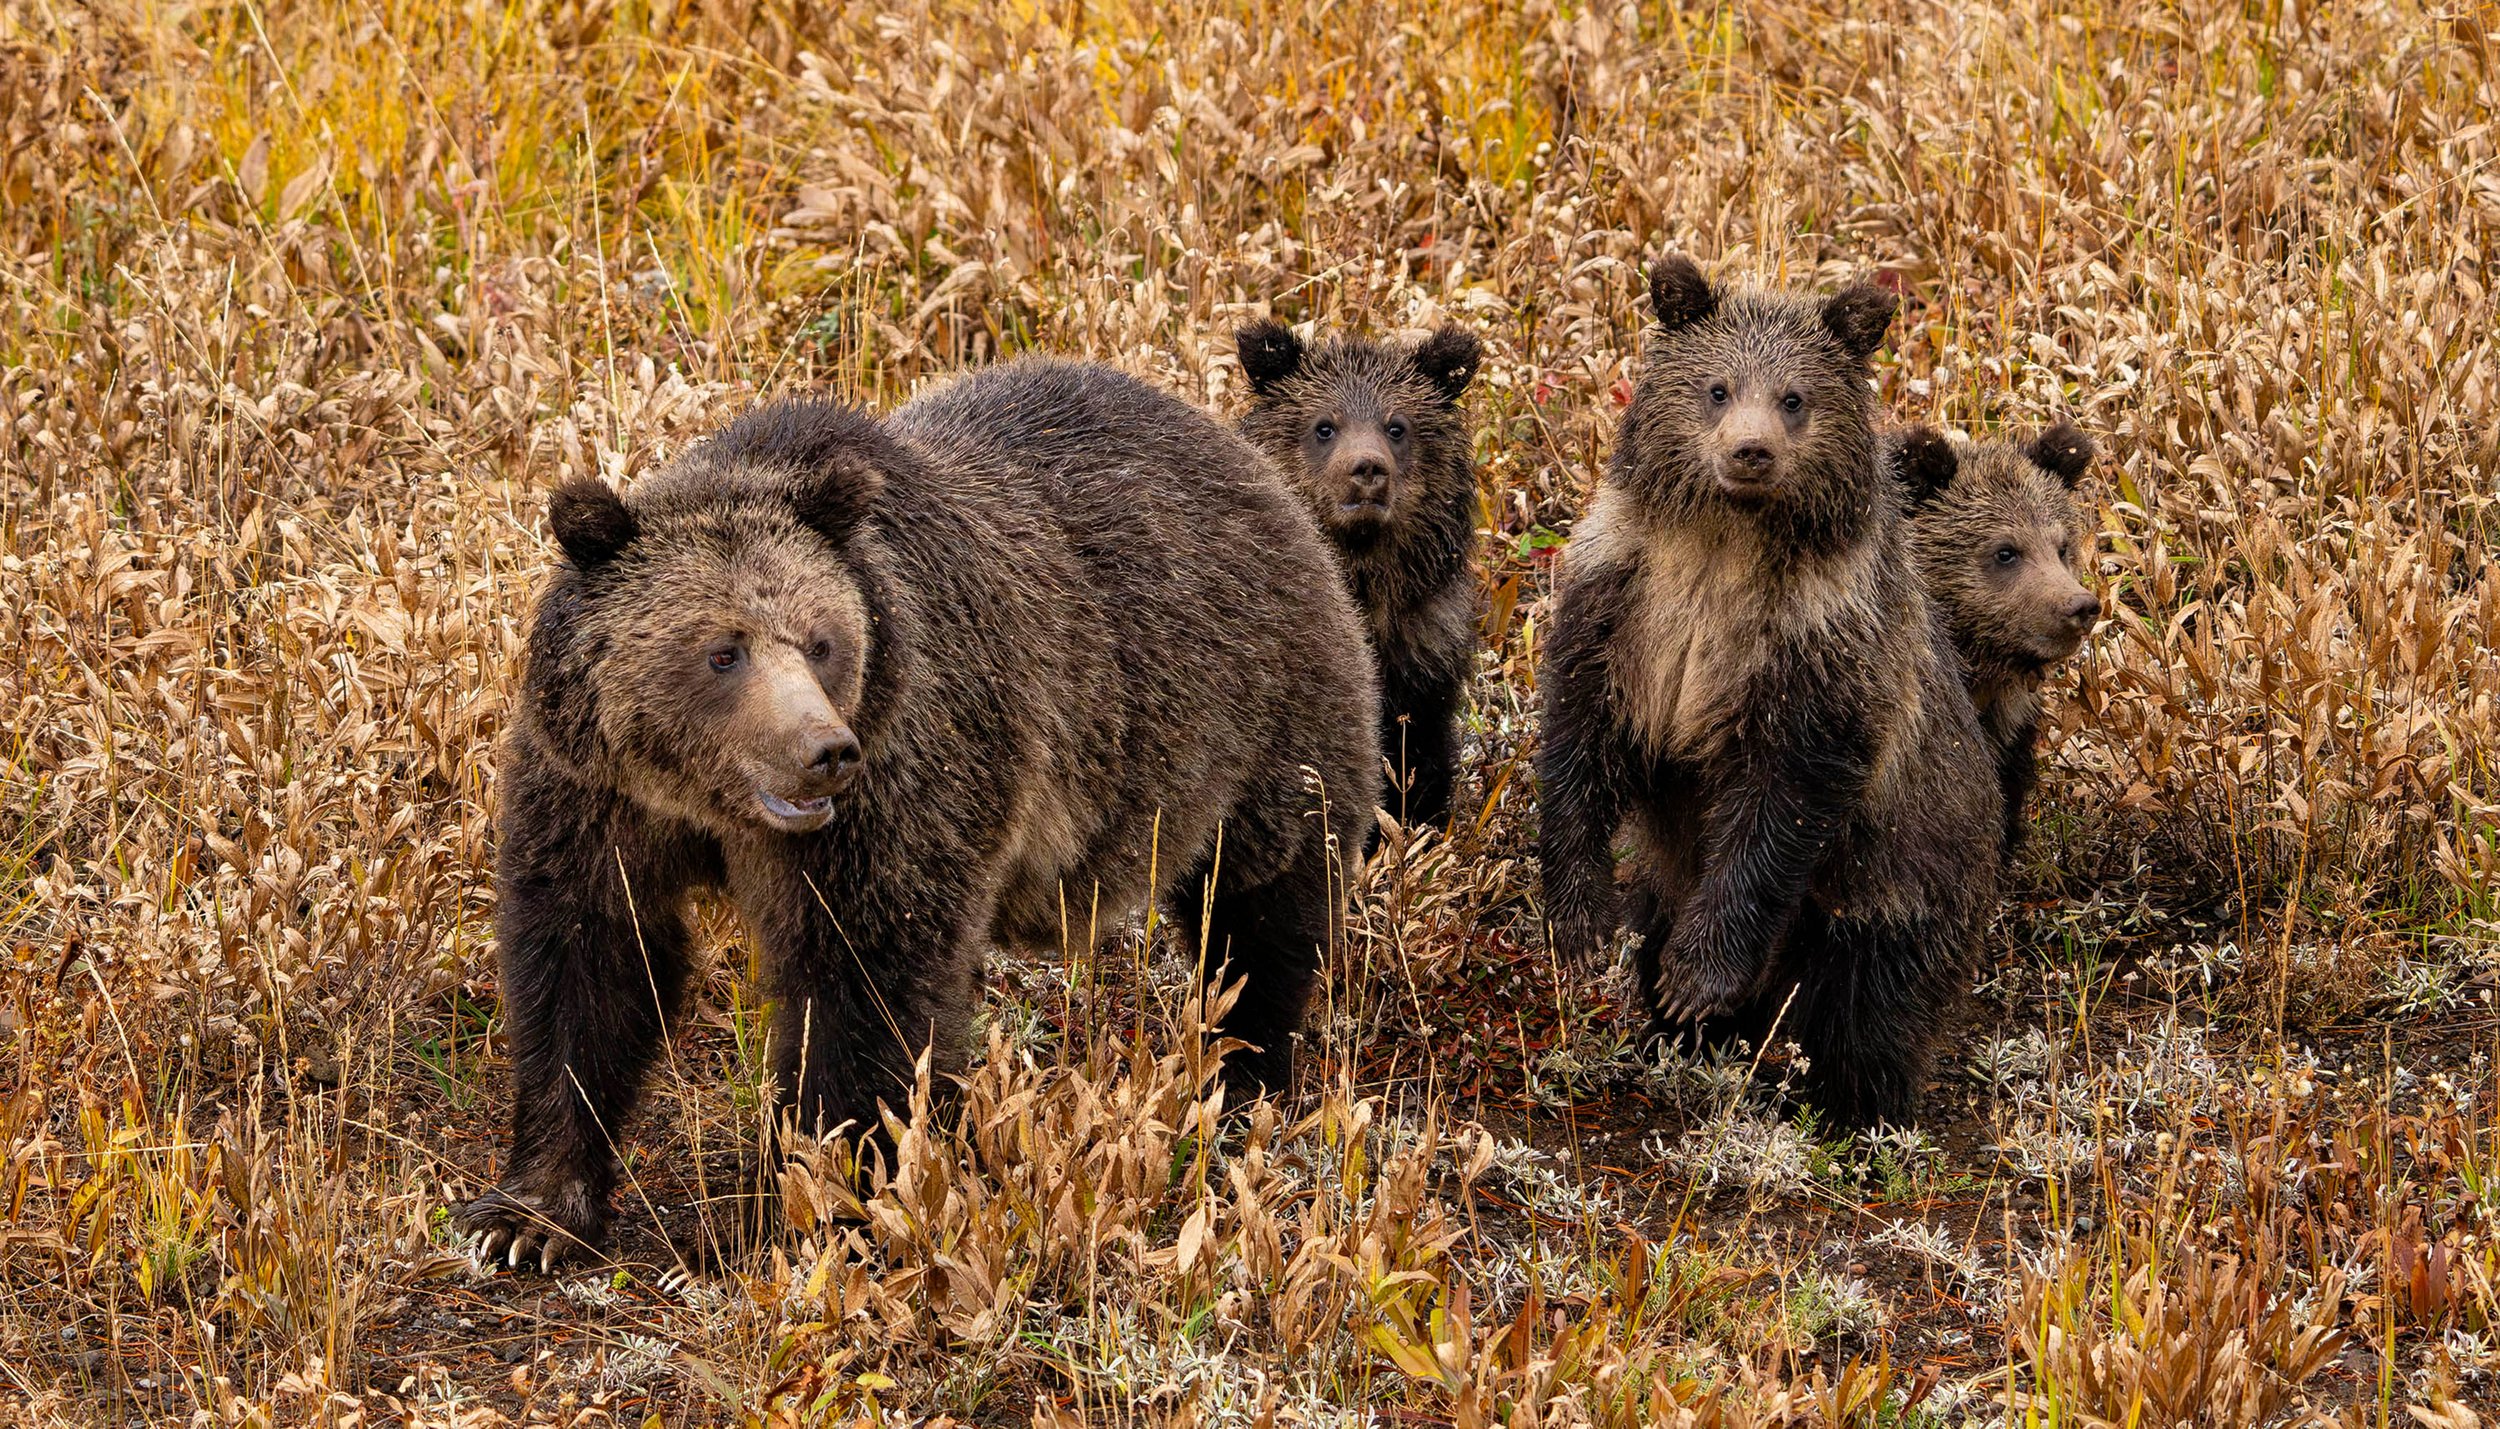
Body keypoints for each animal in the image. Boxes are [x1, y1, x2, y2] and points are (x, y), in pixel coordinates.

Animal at [460, 359, 1380, 1274]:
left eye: (821, 641)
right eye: (723, 650)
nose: (824, 749)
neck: (712, 805)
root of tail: (1253, 471)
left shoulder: (897, 781)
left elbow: (864, 982)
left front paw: (805, 1204)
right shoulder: (596, 789)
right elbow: (590, 956)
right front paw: (525, 1216)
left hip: (1261, 715)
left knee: (1262, 907)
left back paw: (1244, 1075)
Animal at [1530, 257, 2000, 1129]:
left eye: (1794, 397)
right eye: (1717, 388)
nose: (1750, 451)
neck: (1724, 546)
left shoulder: (1817, 655)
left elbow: (1777, 806)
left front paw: (1695, 978)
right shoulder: (1623, 606)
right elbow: (1581, 742)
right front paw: (1580, 931)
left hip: (1895, 888)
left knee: (1869, 1013)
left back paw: (1851, 1111)